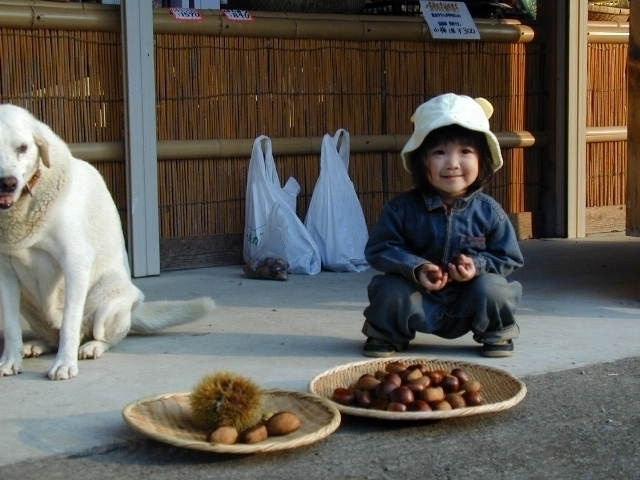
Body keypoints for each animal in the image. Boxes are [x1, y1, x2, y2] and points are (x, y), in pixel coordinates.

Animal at [0, 104, 215, 378]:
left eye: (23, 148)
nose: (7, 183)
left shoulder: (75, 263)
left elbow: (69, 323)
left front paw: (65, 364)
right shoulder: (5, 271)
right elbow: (11, 326)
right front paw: (10, 361)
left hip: (107, 304)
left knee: (104, 336)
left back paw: (91, 347)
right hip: (29, 307)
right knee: (52, 336)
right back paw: (36, 345)